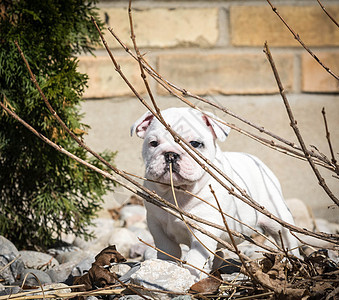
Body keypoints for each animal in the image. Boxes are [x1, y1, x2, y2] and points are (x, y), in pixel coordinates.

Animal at [131, 107, 298, 278]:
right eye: (153, 143)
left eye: (195, 144)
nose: (171, 154)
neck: (177, 191)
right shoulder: (156, 224)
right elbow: (168, 249)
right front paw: (166, 264)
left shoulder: (203, 229)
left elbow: (196, 257)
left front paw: (192, 276)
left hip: (277, 217)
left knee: (287, 238)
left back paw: (291, 261)